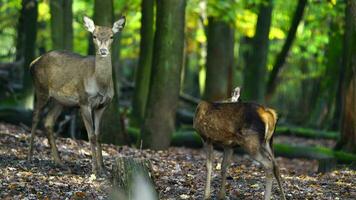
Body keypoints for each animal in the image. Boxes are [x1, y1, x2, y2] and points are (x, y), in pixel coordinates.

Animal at [27, 15, 126, 175]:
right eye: (94, 36)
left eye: (112, 36)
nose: (103, 51)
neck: (100, 84)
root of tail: (32, 63)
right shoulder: (84, 101)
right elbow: (91, 135)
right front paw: (94, 170)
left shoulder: (102, 105)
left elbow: (99, 135)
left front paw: (103, 168)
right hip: (41, 89)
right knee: (35, 117)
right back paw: (29, 157)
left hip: (59, 101)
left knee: (48, 121)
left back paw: (60, 162)